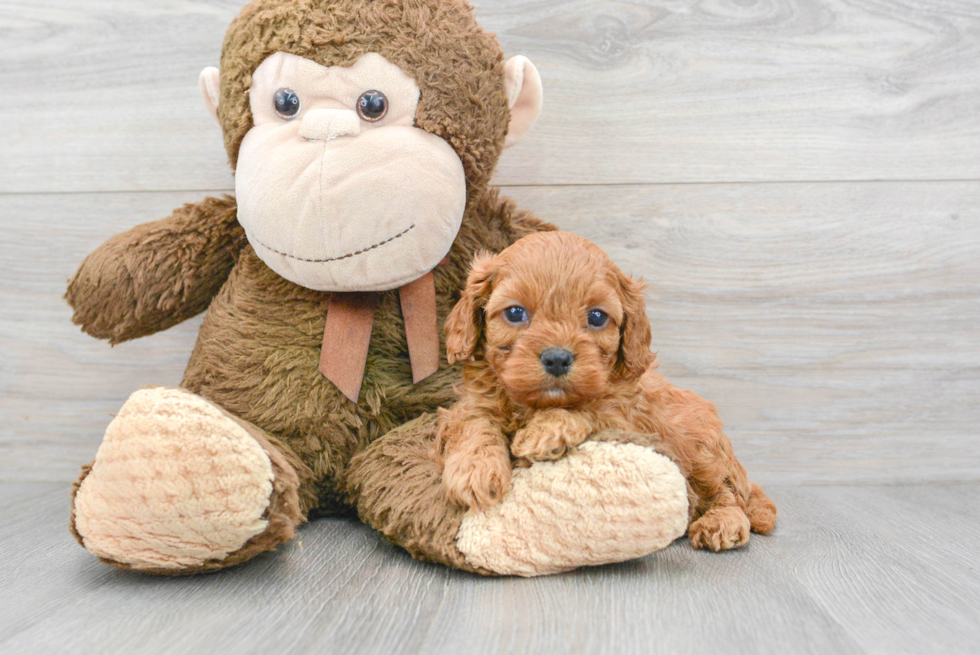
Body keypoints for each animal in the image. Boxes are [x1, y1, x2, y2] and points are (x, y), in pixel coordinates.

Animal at [440, 233, 776, 552]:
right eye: (514, 313)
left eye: (597, 317)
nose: (557, 358)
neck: (538, 403)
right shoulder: (473, 402)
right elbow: (474, 423)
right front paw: (474, 469)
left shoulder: (629, 423)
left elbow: (592, 410)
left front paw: (546, 430)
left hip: (701, 446)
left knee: (728, 492)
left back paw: (722, 521)